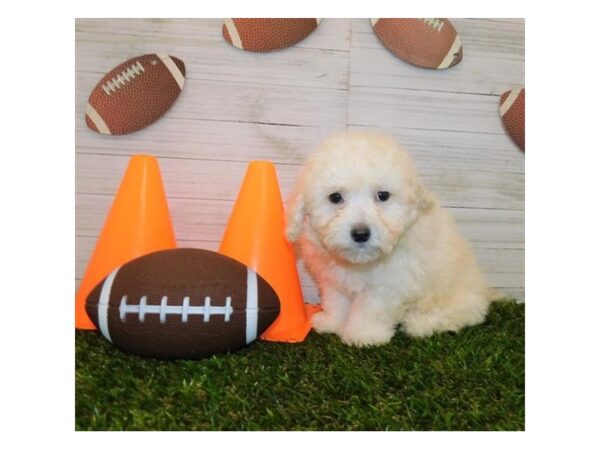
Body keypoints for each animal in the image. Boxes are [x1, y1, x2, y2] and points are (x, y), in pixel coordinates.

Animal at [288, 131, 492, 348]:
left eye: (383, 195)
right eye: (335, 197)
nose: (361, 233)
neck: (360, 263)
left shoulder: (388, 285)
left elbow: (371, 310)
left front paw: (363, 335)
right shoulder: (333, 280)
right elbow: (337, 302)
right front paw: (332, 323)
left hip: (455, 297)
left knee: (456, 316)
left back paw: (419, 322)